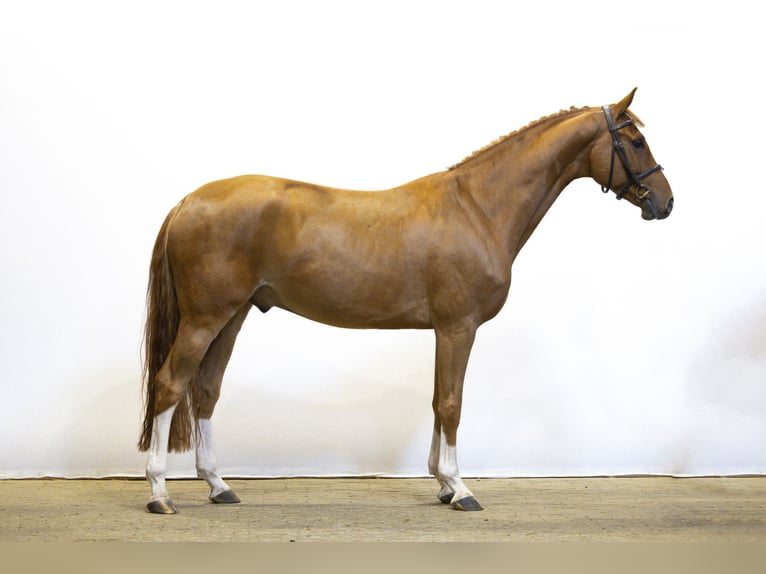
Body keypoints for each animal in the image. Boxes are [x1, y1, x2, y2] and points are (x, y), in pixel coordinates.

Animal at [138, 88, 673, 514]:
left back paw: (219, 486)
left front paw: (442, 484)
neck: (477, 208)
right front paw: (460, 489)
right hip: (205, 319)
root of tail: (187, 202)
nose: (665, 202)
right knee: (169, 385)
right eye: (636, 140)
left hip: (232, 317)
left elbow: (438, 401)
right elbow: (453, 403)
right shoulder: (459, 327)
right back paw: (160, 493)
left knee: (205, 391)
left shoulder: (445, 330)